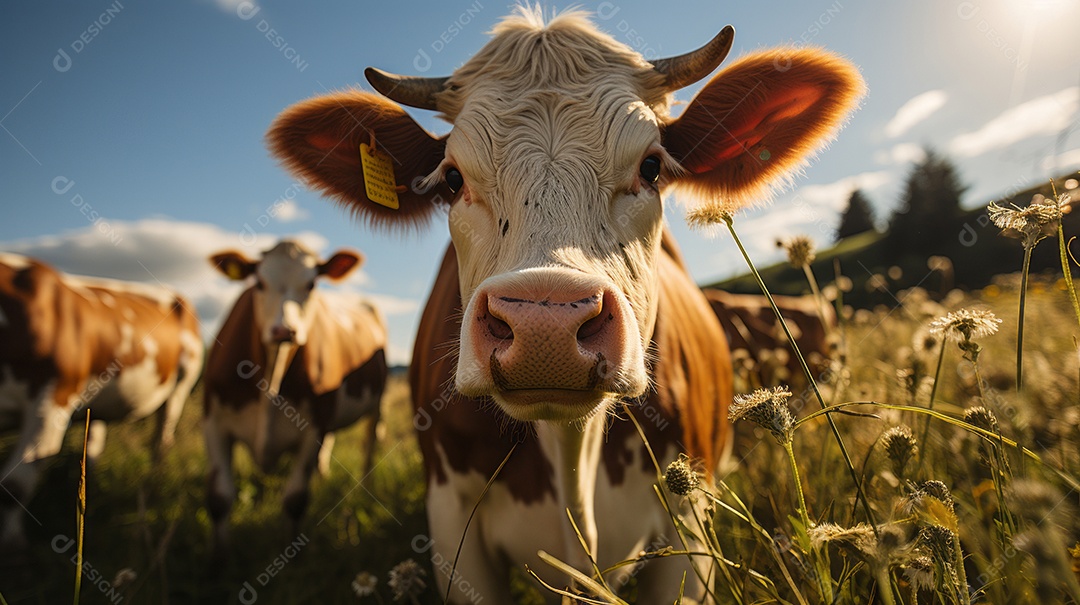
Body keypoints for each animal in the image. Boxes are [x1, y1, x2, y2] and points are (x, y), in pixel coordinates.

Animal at [0, 250, 203, 548]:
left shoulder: (51, 404)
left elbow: (15, 483)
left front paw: (12, 542)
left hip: (181, 386)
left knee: (161, 440)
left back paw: (152, 486)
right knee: (93, 446)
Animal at [203, 240, 388, 553]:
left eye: (311, 284)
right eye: (259, 283)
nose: (284, 330)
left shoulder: (314, 428)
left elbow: (295, 500)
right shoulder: (214, 422)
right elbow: (219, 499)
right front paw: (218, 559)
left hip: (376, 404)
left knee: (369, 443)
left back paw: (366, 487)